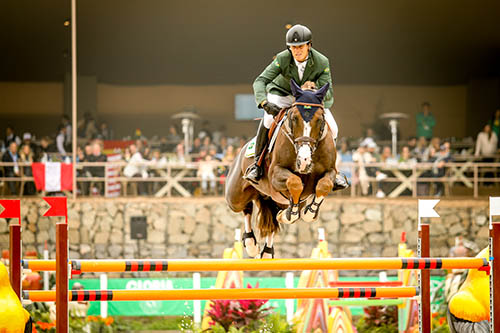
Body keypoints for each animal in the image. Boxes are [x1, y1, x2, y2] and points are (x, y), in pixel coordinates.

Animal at [226, 79, 344, 258]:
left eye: (320, 120)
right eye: (294, 118)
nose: (304, 160)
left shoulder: (329, 173)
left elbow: (324, 185)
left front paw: (309, 213)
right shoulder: (276, 174)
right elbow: (295, 182)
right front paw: (292, 214)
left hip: (273, 199)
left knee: (273, 217)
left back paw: (267, 251)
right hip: (235, 196)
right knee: (246, 207)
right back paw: (251, 243)